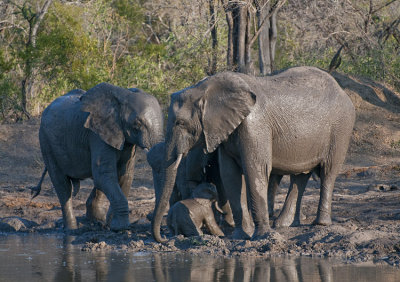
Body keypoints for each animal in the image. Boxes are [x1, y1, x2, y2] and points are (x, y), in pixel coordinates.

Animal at [37, 83, 162, 231]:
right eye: (137, 123)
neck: (122, 96)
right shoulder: (96, 135)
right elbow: (104, 174)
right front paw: (120, 227)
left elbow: (124, 175)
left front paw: (111, 225)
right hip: (46, 141)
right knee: (63, 185)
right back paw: (72, 229)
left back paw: (97, 220)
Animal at [152, 66, 354, 242]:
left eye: (180, 123)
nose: (164, 238)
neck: (206, 89)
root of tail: (342, 91)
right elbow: (230, 175)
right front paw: (241, 236)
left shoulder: (255, 125)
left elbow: (255, 169)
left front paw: (263, 236)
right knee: (301, 176)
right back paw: (283, 224)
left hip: (341, 127)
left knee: (328, 172)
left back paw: (320, 224)